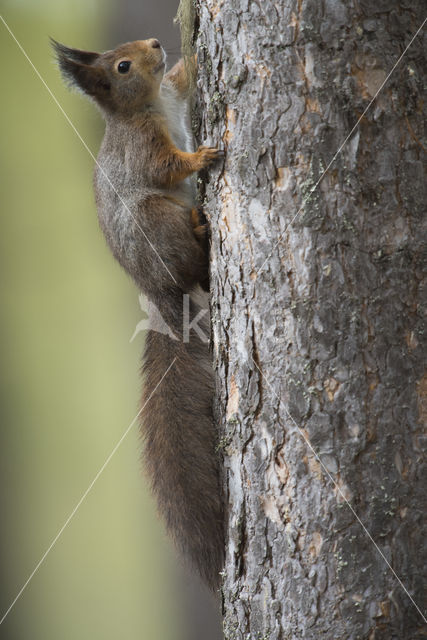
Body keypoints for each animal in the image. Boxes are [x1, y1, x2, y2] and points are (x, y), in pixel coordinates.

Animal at [53, 38, 226, 592]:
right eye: (122, 67)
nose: (153, 44)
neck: (148, 105)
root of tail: (160, 298)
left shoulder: (172, 88)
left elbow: (184, 74)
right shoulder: (144, 150)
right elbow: (167, 167)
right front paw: (202, 155)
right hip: (156, 222)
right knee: (188, 255)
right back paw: (200, 228)